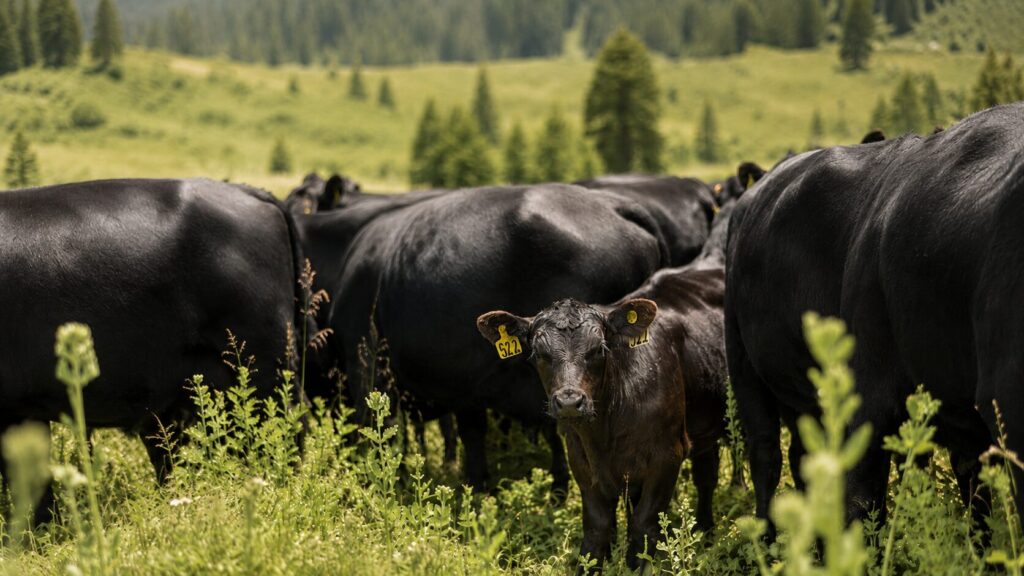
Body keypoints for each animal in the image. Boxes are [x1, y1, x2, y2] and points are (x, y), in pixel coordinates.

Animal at [296, 182, 716, 494]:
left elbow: (375, 432)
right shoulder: (464, 379)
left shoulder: (365, 363)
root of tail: (614, 204)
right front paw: (476, 486)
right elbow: (471, 436)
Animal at [475, 264, 727, 571]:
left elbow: (643, 527)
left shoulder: (667, 457)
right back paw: (706, 530)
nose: (569, 402)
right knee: (706, 474)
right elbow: (597, 529)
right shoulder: (581, 461)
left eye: (598, 349)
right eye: (539, 353)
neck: (606, 430)